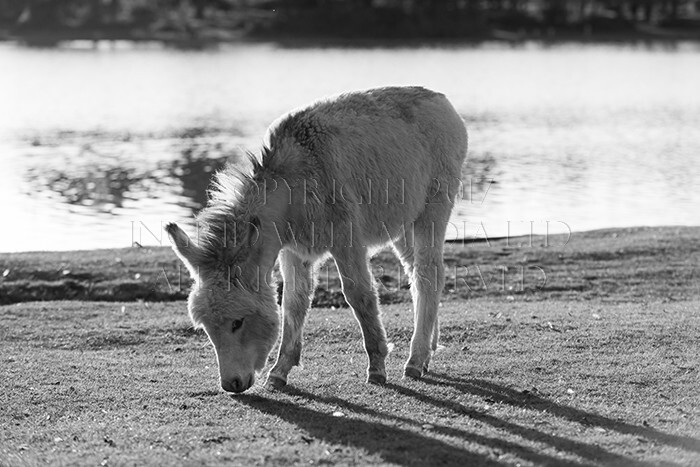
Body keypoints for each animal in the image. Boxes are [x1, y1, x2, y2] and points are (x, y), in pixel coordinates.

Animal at [167, 86, 468, 394]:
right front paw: (279, 372)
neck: (293, 186)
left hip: (432, 210)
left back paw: (416, 360)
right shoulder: (292, 250)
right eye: (206, 328)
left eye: (237, 323)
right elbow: (293, 302)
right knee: (417, 271)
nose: (231, 385)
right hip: (403, 223)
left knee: (428, 274)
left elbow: (359, 295)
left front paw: (377, 367)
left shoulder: (346, 239)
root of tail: (439, 98)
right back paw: (429, 348)